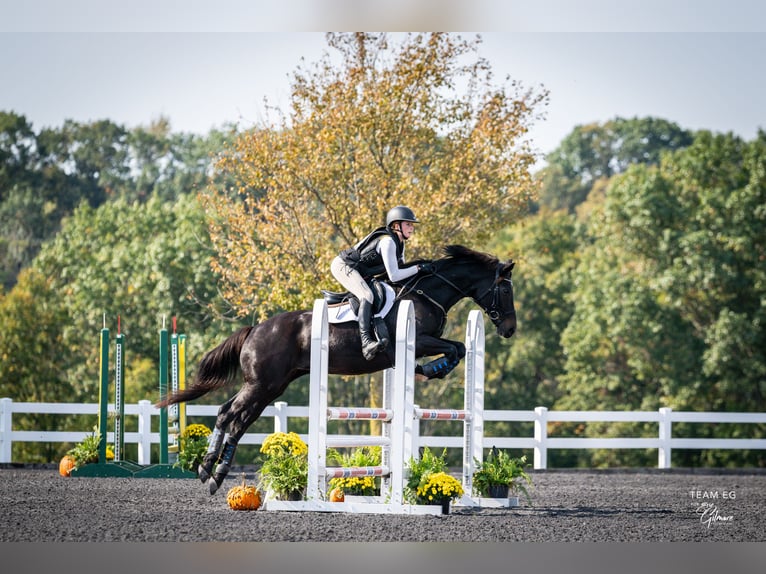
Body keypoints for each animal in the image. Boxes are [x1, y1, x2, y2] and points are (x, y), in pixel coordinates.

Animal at [158, 244, 516, 496]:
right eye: (506, 290)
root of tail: (255, 329)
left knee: (234, 418)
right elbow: (455, 347)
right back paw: (209, 472)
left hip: (270, 386)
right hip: (261, 384)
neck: (426, 294)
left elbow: (460, 348)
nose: (510, 329)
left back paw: (212, 474)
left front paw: (431, 368)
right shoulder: (420, 340)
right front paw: (433, 367)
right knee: (229, 415)